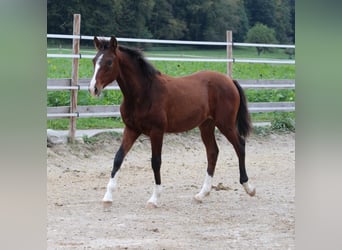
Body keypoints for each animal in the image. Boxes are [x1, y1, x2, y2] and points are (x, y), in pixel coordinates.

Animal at [89, 35, 255, 207]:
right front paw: (108, 196)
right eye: (94, 60)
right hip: (206, 126)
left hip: (226, 124)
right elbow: (118, 158)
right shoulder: (131, 129)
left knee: (240, 146)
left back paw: (249, 187)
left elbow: (156, 162)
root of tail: (230, 80)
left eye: (109, 62)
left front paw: (154, 199)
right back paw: (202, 194)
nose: (93, 88)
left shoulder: (157, 131)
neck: (144, 92)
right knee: (213, 152)